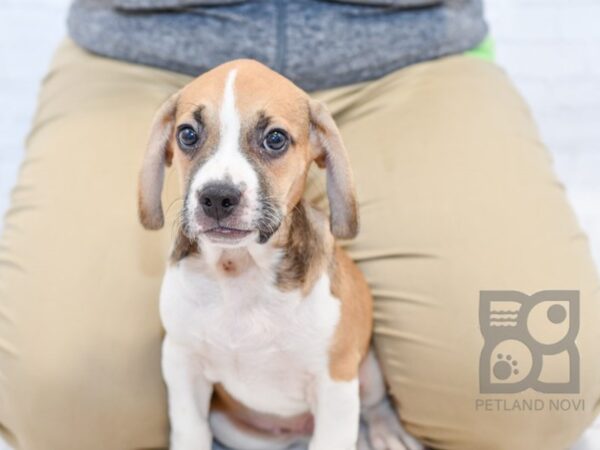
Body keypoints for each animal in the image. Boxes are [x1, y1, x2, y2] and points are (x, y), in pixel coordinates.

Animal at [139, 59, 422, 450]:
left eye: (275, 139)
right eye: (187, 135)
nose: (217, 197)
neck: (240, 271)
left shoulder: (335, 385)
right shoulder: (182, 364)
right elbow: (190, 431)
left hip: (368, 370)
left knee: (375, 405)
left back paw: (386, 431)